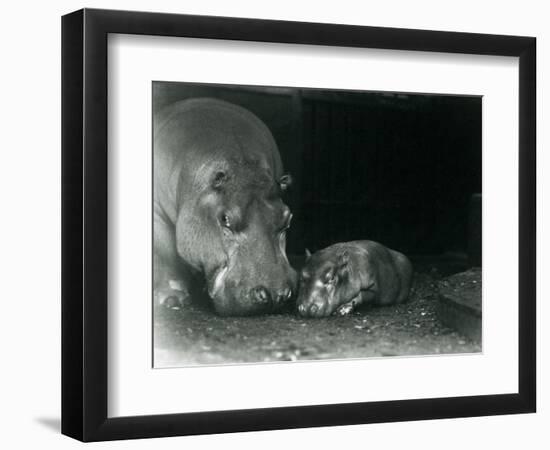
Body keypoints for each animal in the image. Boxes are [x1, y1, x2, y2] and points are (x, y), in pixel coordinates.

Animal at [153, 98, 300, 316]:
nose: (275, 295)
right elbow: (164, 254)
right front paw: (172, 299)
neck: (242, 166)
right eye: (225, 219)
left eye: (288, 218)